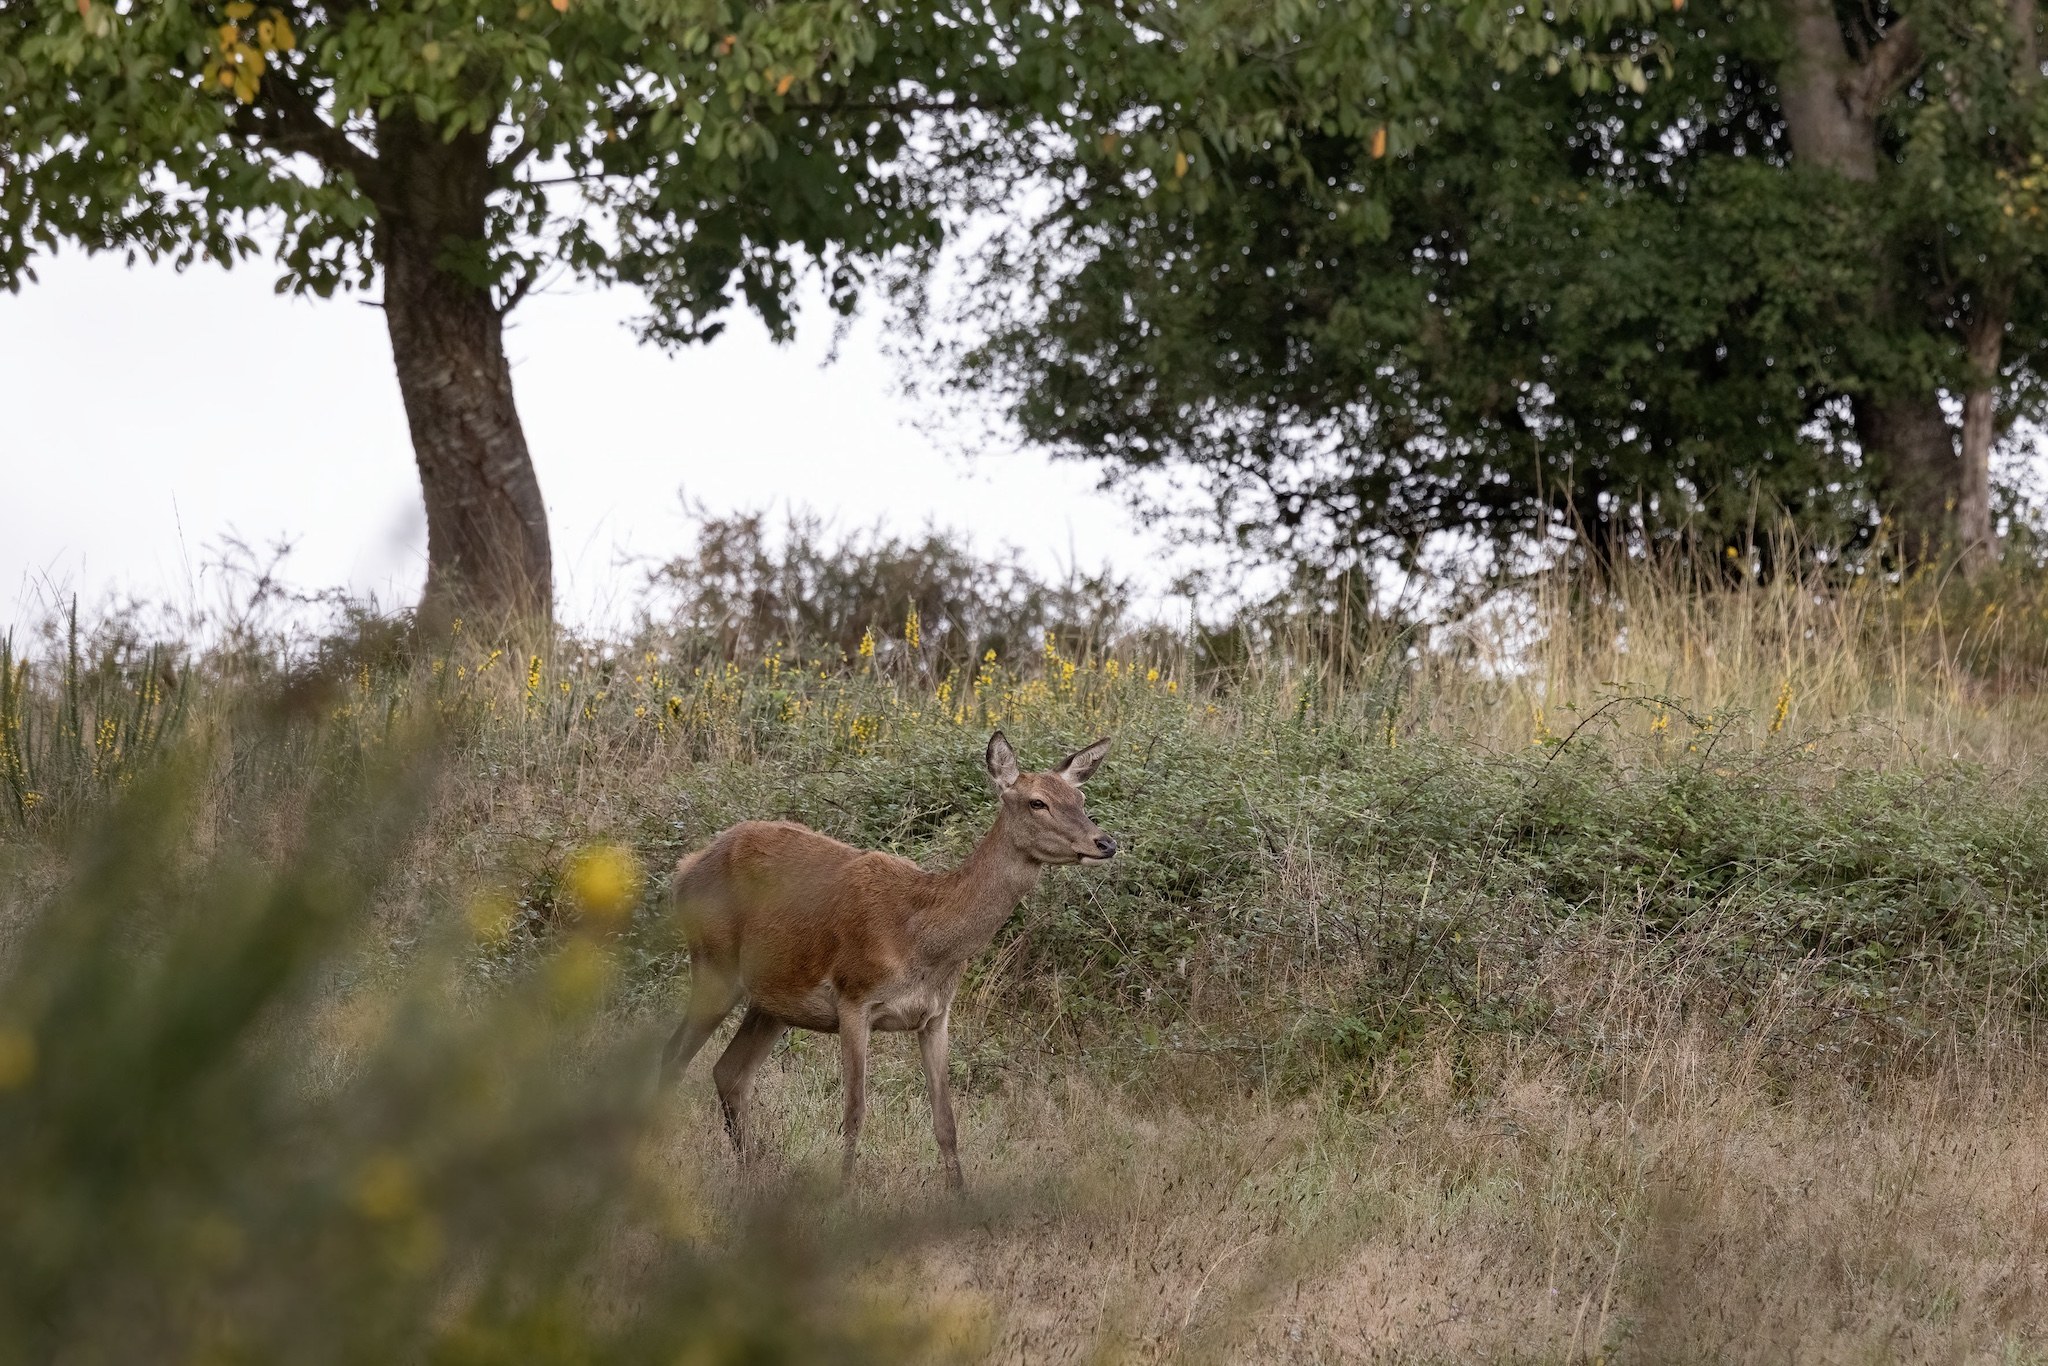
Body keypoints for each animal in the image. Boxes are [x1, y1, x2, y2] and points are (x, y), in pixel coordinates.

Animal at [660, 731, 1115, 1189]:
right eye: (1037, 802)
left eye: (1080, 796)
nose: (1106, 842)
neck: (922, 941)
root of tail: (684, 869)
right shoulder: (853, 997)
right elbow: (854, 1112)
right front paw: (842, 1192)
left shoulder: (935, 1016)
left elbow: (946, 1121)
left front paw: (960, 1195)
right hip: (713, 964)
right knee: (674, 1056)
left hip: (772, 1000)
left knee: (730, 1072)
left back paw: (752, 1171)